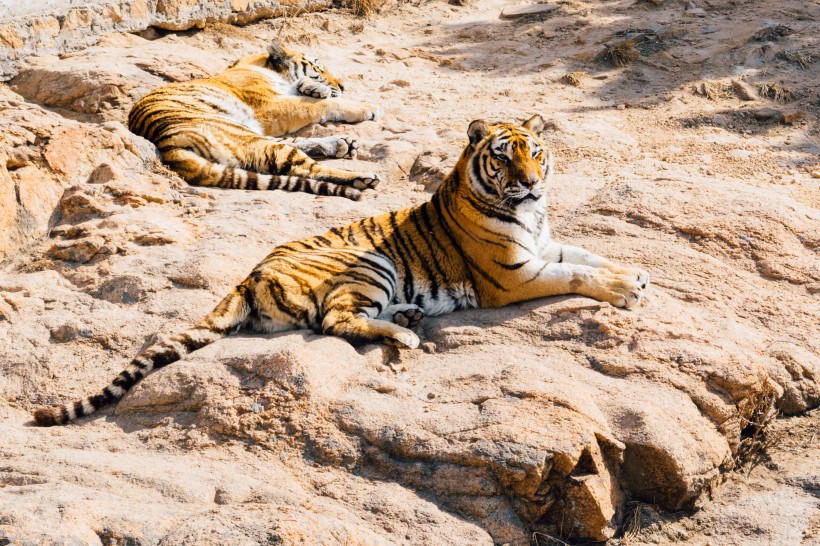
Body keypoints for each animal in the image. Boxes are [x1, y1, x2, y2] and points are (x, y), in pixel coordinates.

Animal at [32, 115, 652, 424]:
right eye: (504, 156)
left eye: (536, 152)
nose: (531, 181)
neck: (529, 212)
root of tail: (247, 274)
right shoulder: (513, 275)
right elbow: (578, 275)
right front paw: (626, 288)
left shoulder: (544, 246)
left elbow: (587, 256)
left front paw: (638, 272)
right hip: (370, 262)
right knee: (335, 321)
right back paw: (408, 332)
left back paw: (407, 317)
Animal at [128, 39, 384, 200]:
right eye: (319, 68)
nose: (343, 85)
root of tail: (166, 146)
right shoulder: (269, 107)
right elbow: (323, 104)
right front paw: (367, 107)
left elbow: (307, 94)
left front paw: (312, 88)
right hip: (245, 136)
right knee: (304, 168)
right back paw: (363, 177)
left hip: (251, 136)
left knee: (292, 149)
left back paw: (343, 144)